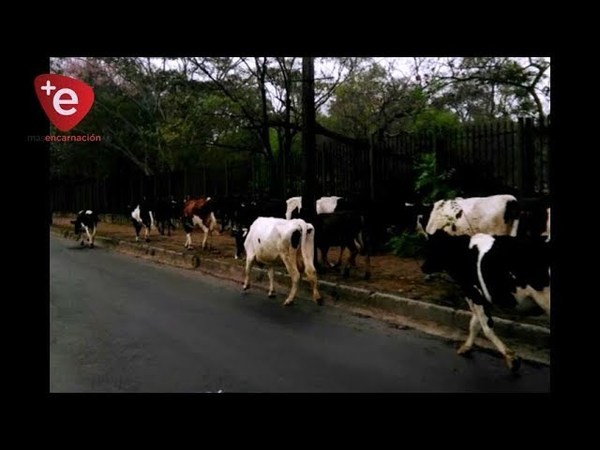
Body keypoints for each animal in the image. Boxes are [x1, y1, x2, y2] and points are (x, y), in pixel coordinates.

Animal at [422, 230, 548, 370]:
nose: (423, 267)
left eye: (432, 248)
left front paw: (511, 359)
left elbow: (486, 327)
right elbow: (474, 324)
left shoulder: (475, 294)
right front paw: (466, 348)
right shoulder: (477, 298)